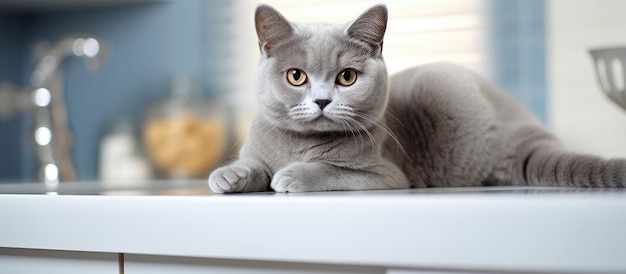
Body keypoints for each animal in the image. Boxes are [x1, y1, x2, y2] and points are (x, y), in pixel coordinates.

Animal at [207, 4, 620, 193]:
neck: (299, 144)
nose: (322, 101)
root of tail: (526, 130)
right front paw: (231, 175)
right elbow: (254, 164)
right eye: (296, 76)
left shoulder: (386, 174)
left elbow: (331, 169)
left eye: (346, 77)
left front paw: (291, 174)